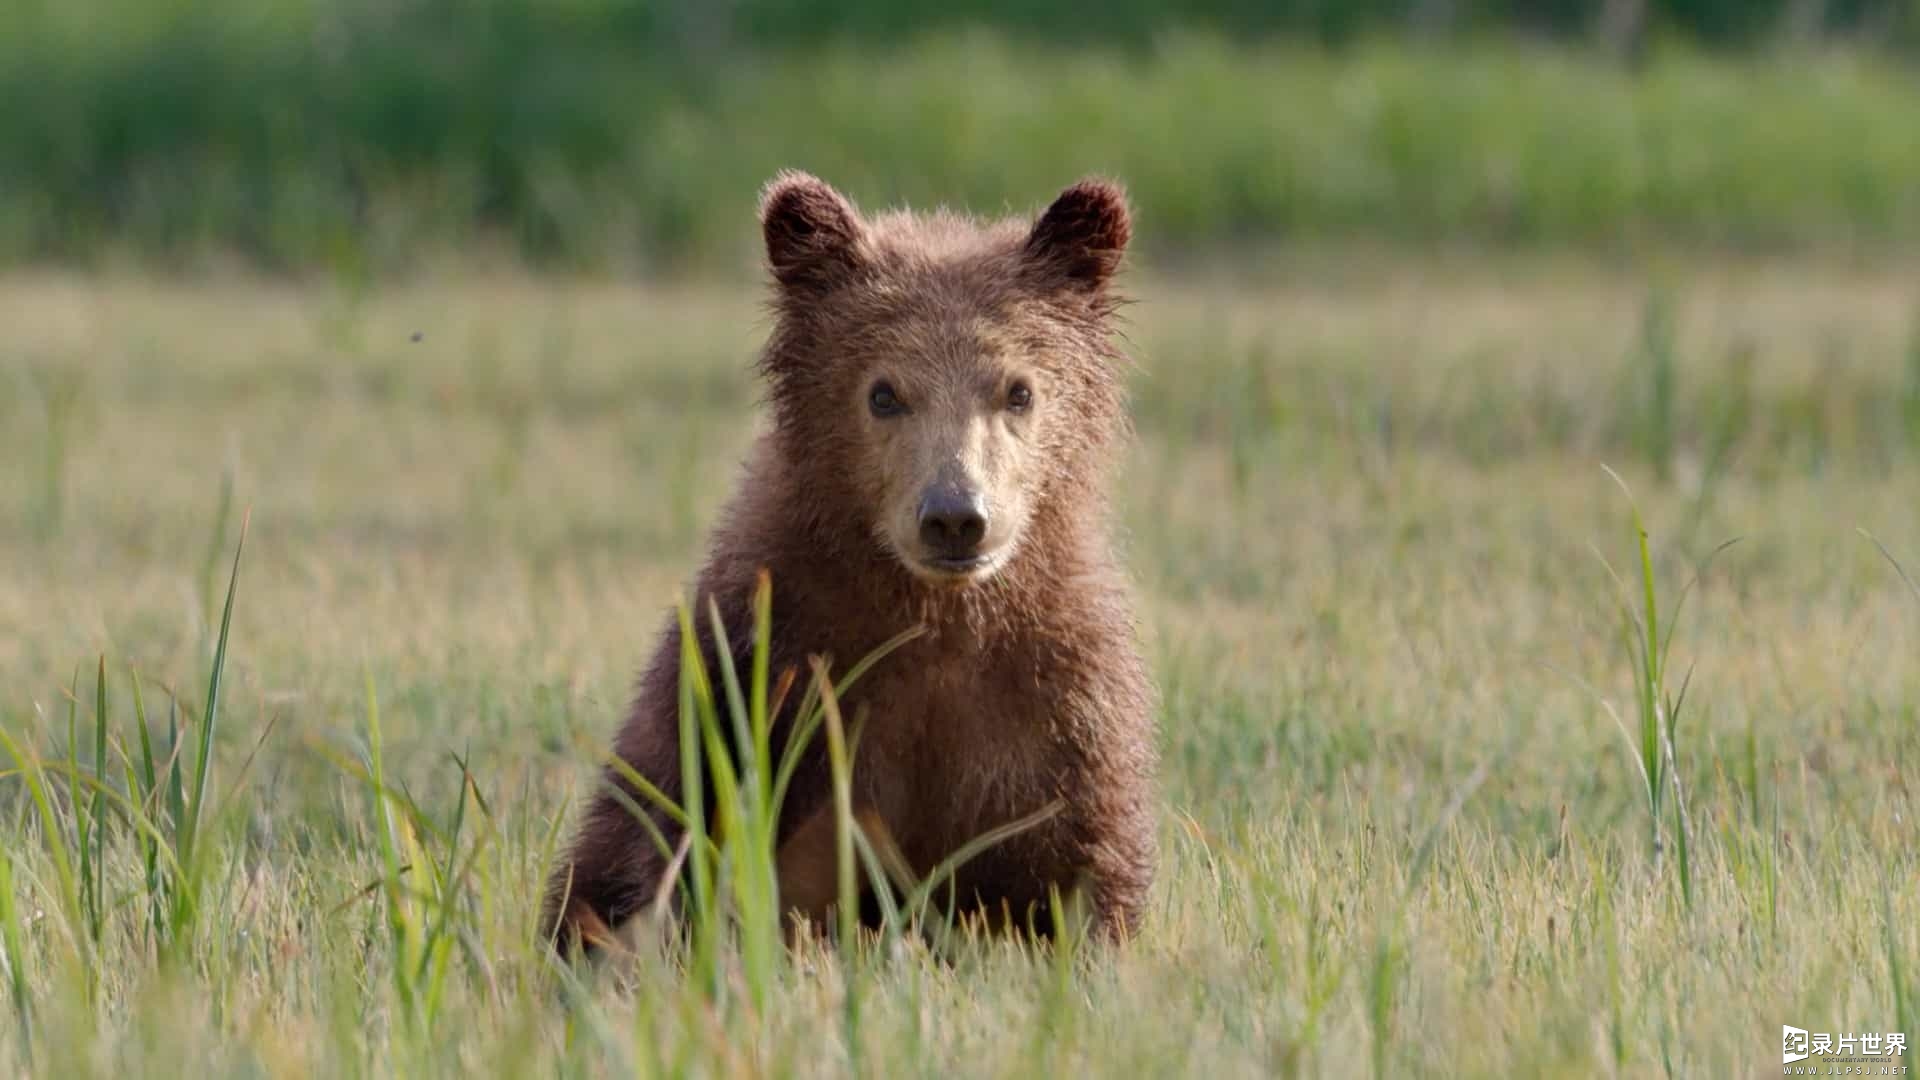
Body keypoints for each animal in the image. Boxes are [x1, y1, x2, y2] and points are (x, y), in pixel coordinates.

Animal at [549, 168, 1159, 949]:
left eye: (1018, 389)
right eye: (884, 392)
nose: (955, 517)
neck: (934, 614)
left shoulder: (1055, 702)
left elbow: (1078, 864)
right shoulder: (769, 669)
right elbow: (672, 842)